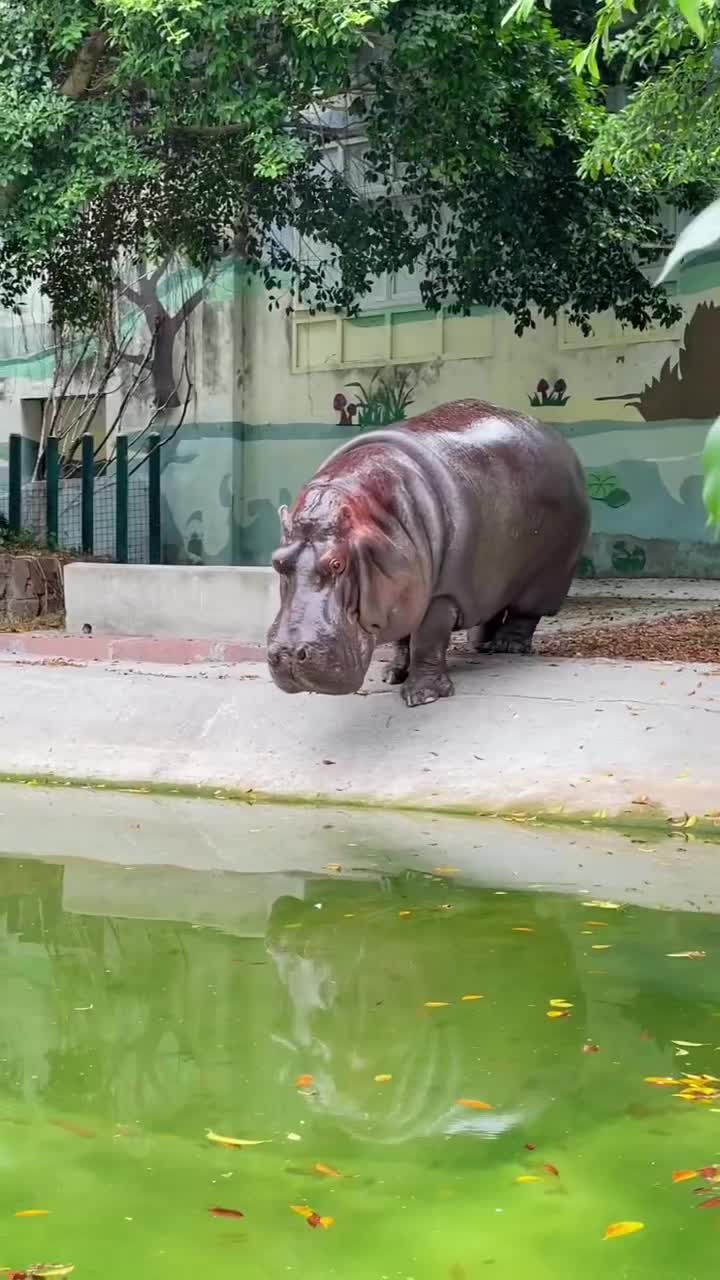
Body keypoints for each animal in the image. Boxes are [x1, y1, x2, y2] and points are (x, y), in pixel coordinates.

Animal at [267, 399, 590, 707]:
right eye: (277, 561)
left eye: (337, 563)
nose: (288, 654)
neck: (376, 518)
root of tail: (556, 437)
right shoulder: (402, 592)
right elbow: (402, 639)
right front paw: (391, 674)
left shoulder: (440, 595)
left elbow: (426, 640)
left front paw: (423, 695)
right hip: (496, 576)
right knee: (492, 609)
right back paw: (480, 646)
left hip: (548, 576)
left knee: (525, 615)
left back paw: (509, 648)